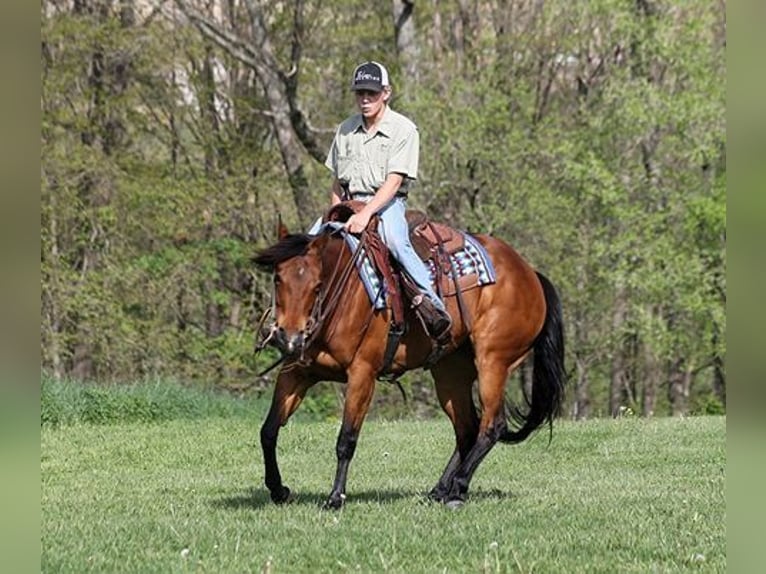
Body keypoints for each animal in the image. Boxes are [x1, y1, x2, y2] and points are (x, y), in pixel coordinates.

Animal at [252, 209, 566, 509]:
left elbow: (346, 439)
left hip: (493, 362)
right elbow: (268, 431)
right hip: (450, 373)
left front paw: (336, 497)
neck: (342, 299)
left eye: (317, 285)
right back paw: (440, 490)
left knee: (492, 426)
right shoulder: (297, 372)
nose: (289, 337)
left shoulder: (362, 375)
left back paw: (458, 488)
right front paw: (278, 490)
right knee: (467, 429)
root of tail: (530, 273)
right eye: (278, 278)